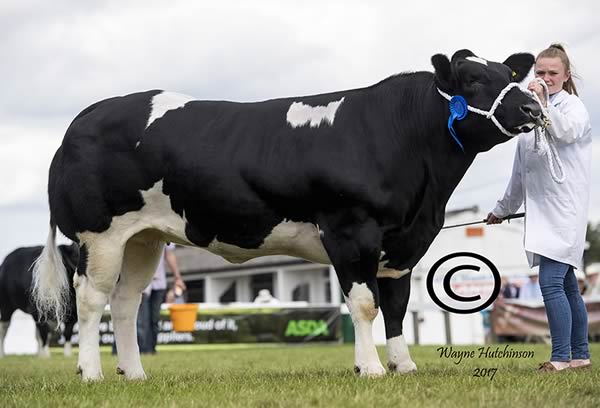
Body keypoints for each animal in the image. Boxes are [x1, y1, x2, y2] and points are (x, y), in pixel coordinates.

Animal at [32, 49, 540, 380]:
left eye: (510, 73)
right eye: (473, 81)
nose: (532, 105)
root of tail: (85, 117)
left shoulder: (403, 242)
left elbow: (396, 306)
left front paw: (404, 365)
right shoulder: (351, 230)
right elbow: (364, 303)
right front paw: (371, 368)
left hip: (144, 238)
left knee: (125, 302)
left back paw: (134, 374)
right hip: (100, 236)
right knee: (90, 299)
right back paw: (91, 373)